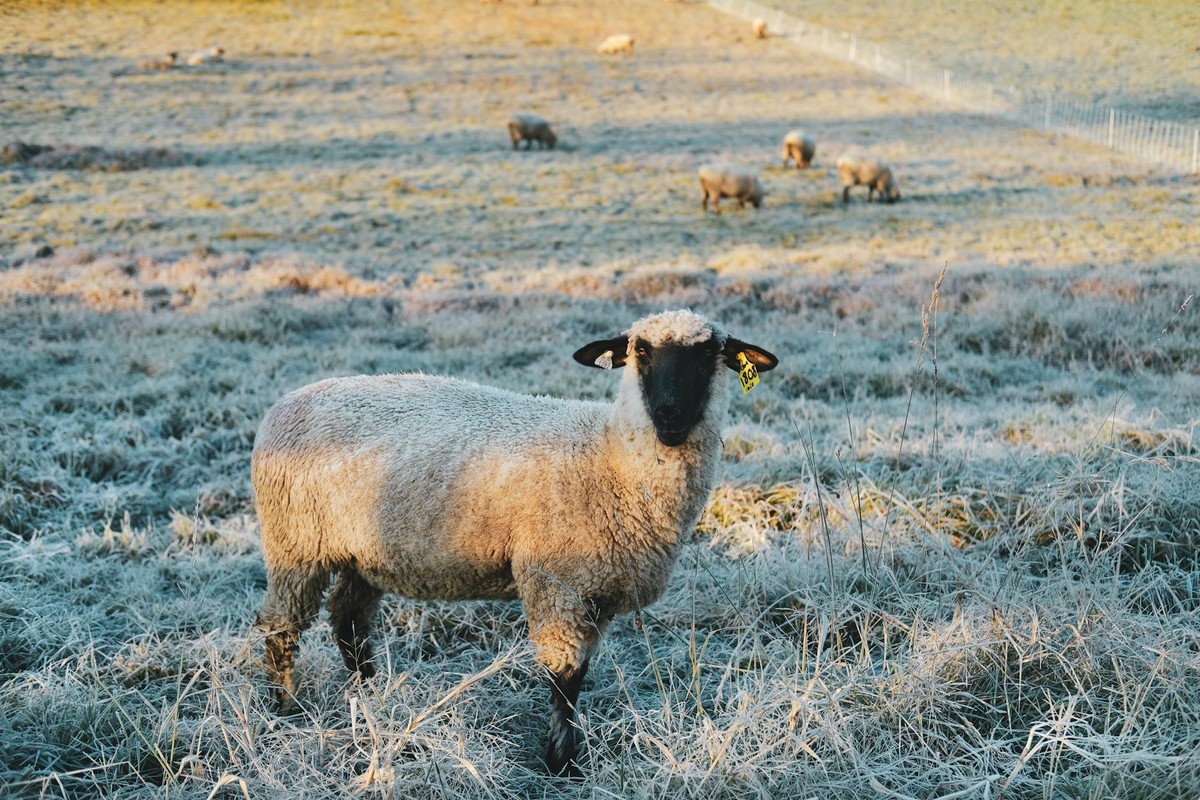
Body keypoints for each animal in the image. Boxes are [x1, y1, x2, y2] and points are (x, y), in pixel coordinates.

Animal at [253, 310, 779, 777]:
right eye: (641, 351)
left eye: (709, 354)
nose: (670, 414)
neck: (611, 457)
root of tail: (284, 404)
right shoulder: (557, 585)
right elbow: (565, 680)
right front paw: (562, 765)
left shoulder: (598, 594)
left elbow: (581, 673)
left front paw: (566, 756)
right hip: (295, 546)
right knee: (280, 627)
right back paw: (285, 708)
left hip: (364, 553)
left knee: (349, 619)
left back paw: (368, 695)